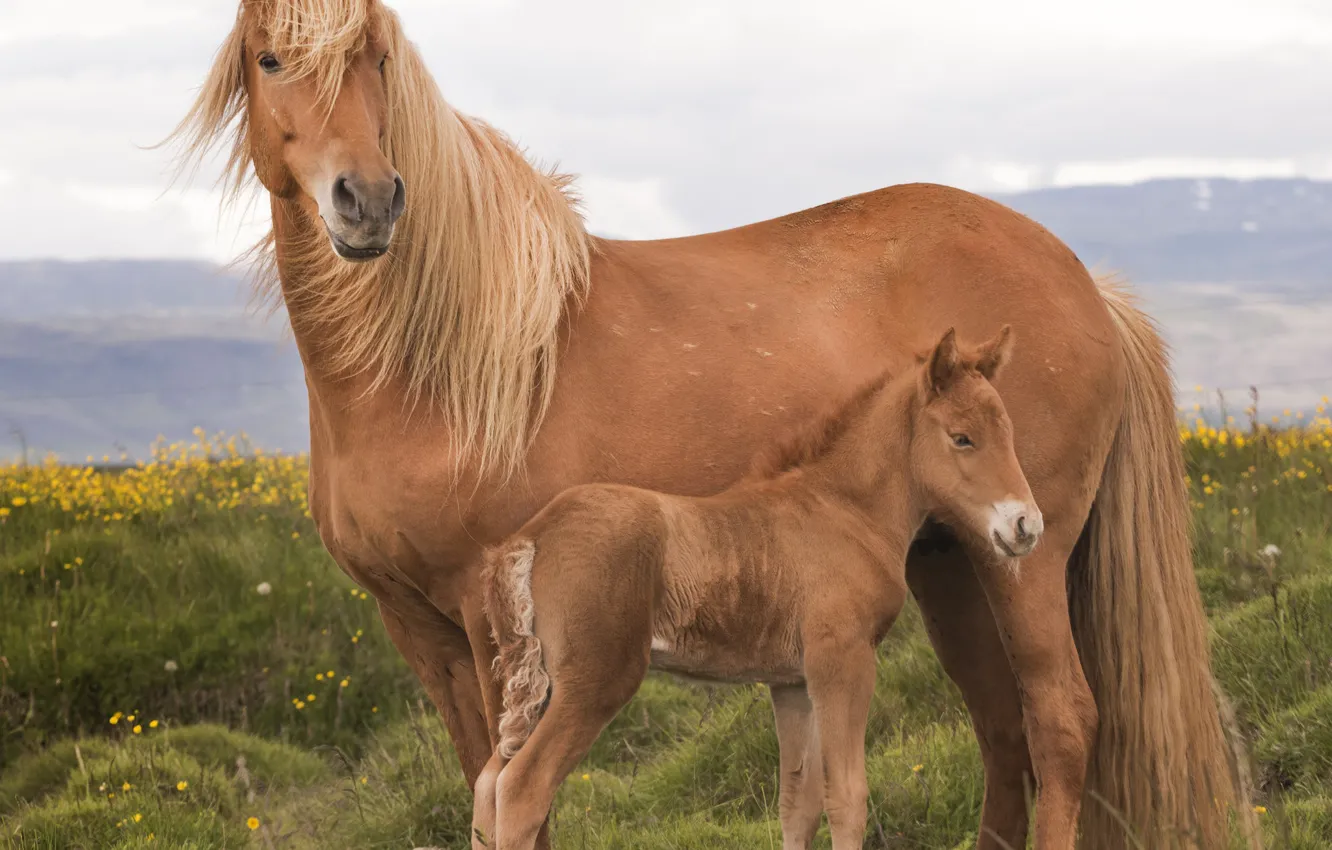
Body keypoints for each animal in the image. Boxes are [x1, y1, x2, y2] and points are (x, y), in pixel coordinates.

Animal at [478, 327, 1039, 850]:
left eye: (1010, 432)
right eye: (962, 437)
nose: (1026, 526)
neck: (845, 510)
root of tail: (531, 535)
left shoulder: (791, 681)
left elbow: (797, 801)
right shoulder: (843, 659)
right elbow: (847, 794)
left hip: (539, 684)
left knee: (488, 783)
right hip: (594, 681)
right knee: (522, 788)